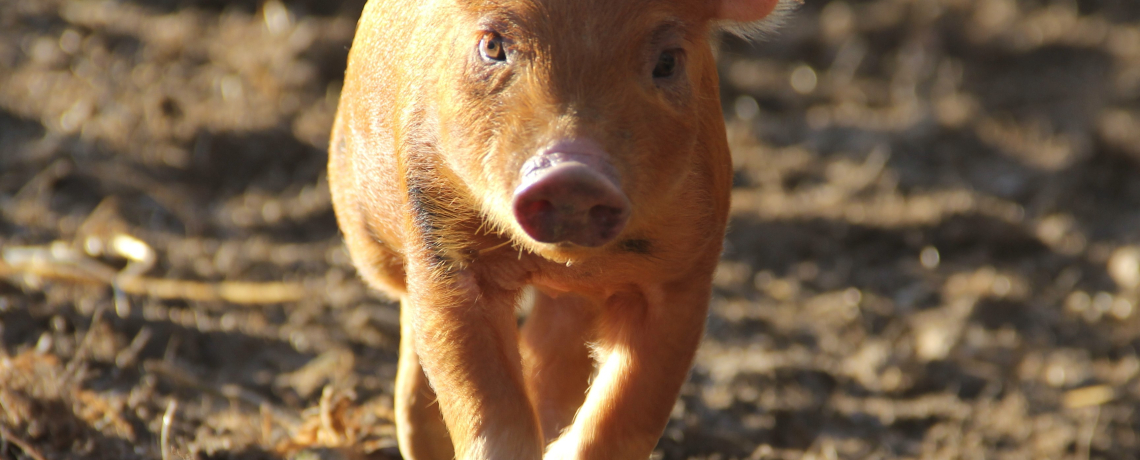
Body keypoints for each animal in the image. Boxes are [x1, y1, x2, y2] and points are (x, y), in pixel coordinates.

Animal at [326, 1, 798, 457]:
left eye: (667, 61)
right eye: (493, 46)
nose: (573, 173)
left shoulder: (686, 270)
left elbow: (628, 415)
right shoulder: (441, 239)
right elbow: (488, 410)